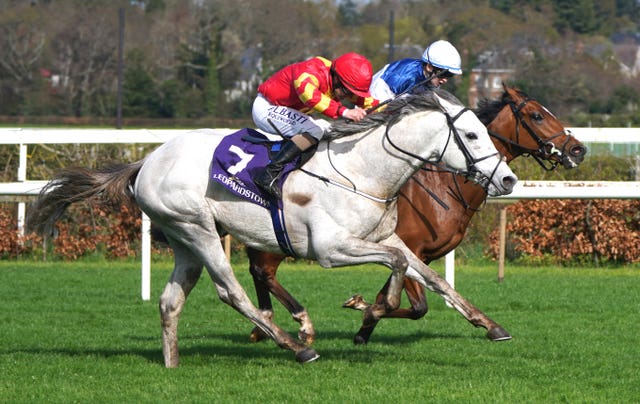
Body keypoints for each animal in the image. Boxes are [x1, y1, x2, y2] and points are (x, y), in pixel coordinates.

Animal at [27, 90, 520, 366]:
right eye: (472, 136)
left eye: (485, 132)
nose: (509, 180)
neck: (362, 171)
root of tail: (146, 161)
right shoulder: (332, 249)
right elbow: (399, 266)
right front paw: (374, 307)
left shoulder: (385, 236)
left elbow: (432, 276)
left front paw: (491, 325)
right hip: (200, 230)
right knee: (232, 292)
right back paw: (297, 346)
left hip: (185, 239)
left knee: (171, 301)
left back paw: (172, 364)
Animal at [248, 83, 588, 346]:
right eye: (537, 115)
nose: (578, 150)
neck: (445, 183)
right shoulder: (411, 246)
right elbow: (418, 305)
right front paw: (365, 312)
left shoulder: (412, 251)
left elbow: (415, 290)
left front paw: (365, 320)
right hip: (282, 238)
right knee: (264, 271)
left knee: (258, 271)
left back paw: (262, 327)